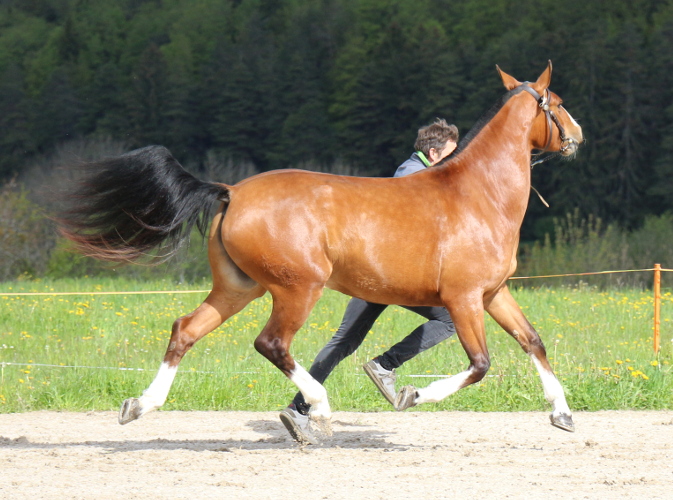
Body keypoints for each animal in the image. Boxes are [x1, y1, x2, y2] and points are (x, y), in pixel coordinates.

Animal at [56, 61, 584, 434]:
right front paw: (411, 395)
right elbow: (479, 364)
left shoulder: (494, 293)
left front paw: (562, 413)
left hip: (237, 288)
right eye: (557, 102)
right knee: (272, 344)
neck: (477, 194)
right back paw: (320, 410)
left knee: (185, 330)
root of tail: (232, 191)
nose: (578, 136)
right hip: (297, 289)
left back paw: (142, 405)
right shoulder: (464, 298)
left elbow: (532, 340)